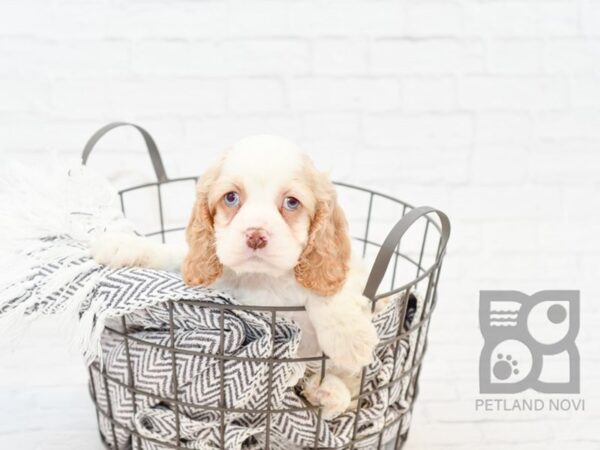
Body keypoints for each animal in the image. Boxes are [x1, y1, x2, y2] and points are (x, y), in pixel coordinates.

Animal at [91, 136, 378, 418]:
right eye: (231, 197)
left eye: (291, 202)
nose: (256, 235)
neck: (262, 278)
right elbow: (170, 256)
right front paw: (123, 245)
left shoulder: (351, 274)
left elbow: (330, 293)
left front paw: (350, 339)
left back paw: (328, 391)